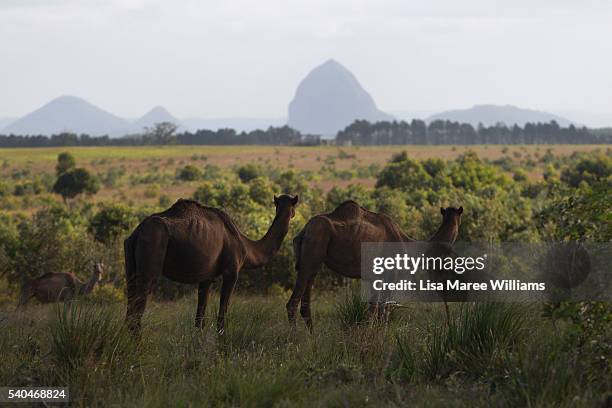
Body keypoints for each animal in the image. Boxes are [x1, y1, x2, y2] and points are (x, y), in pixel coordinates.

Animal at [123, 195, 298, 334]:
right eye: (294, 205)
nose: (292, 214)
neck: (247, 248)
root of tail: (137, 233)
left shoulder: (206, 278)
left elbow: (200, 320)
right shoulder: (231, 272)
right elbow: (221, 318)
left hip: (130, 266)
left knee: (130, 311)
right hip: (151, 255)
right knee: (137, 313)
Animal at [290, 202, 462, 334]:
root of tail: (304, 230)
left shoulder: (377, 277)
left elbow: (373, 310)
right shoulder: (391, 275)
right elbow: (383, 311)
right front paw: (380, 338)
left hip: (313, 261)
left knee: (305, 303)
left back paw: (312, 337)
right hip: (312, 250)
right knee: (293, 302)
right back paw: (294, 340)